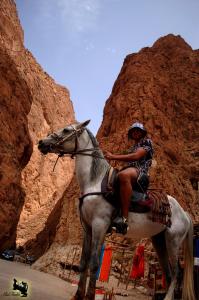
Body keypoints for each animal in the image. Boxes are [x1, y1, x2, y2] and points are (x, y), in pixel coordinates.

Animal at [37, 120, 194, 300]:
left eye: (66, 130)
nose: (41, 143)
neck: (95, 182)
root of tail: (184, 214)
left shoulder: (100, 225)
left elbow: (94, 263)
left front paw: (90, 296)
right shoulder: (88, 228)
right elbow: (83, 262)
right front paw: (78, 295)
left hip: (173, 241)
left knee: (177, 273)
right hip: (159, 240)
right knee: (168, 273)